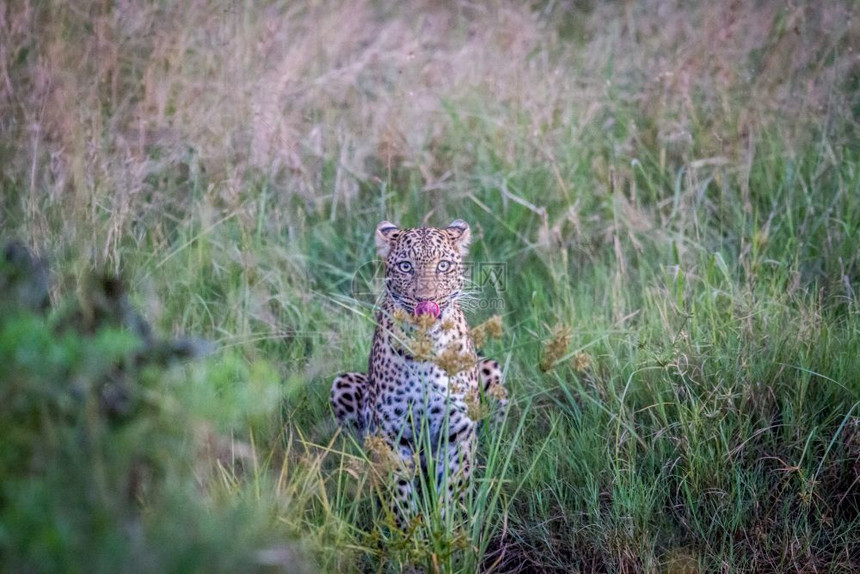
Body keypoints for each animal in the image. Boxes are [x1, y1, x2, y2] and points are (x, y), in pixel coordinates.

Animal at [328, 220, 504, 528]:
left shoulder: (457, 432)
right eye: (406, 266)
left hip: (491, 371)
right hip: (344, 384)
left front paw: (450, 531)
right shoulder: (393, 436)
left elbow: (454, 490)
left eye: (443, 265)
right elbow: (400, 497)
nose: (426, 300)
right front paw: (410, 535)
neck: (427, 347)